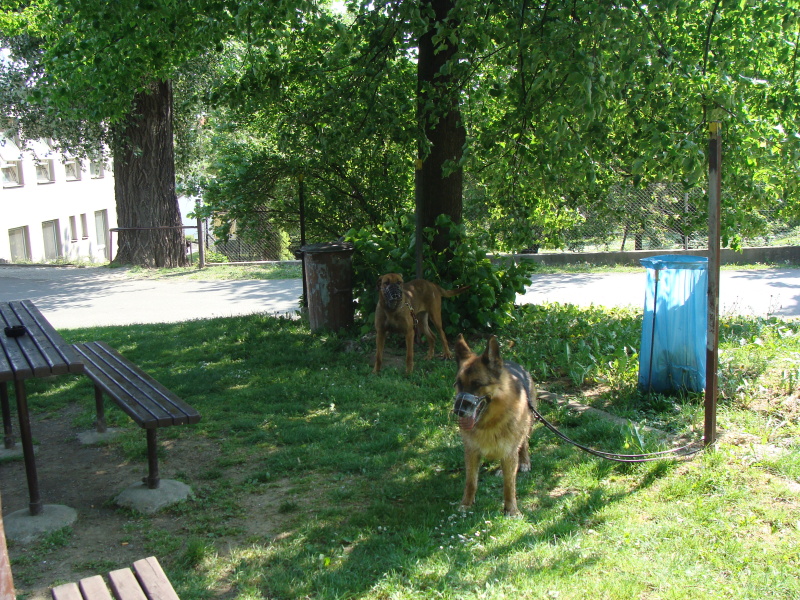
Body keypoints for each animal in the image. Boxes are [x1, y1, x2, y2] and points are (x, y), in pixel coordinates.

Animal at [450, 332, 536, 516]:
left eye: (477, 384)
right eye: (459, 384)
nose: (458, 411)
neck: (489, 422)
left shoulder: (509, 451)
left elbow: (509, 485)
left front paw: (511, 510)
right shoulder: (471, 452)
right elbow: (471, 481)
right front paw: (466, 504)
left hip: (528, 424)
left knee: (524, 444)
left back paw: (524, 462)